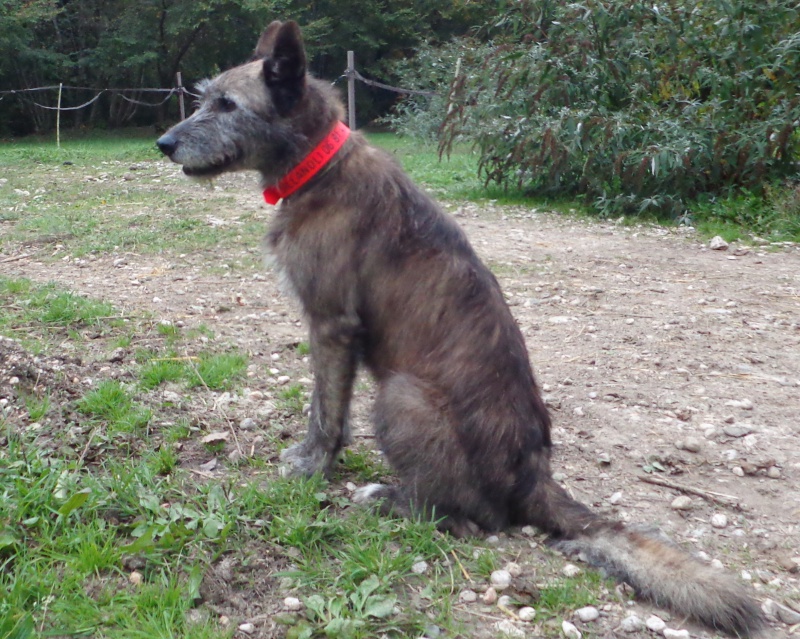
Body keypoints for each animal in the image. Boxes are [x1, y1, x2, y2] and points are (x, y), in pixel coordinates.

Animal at [156, 21, 764, 639]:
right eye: (202, 98)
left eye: (227, 105)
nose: (164, 144)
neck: (318, 166)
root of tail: (532, 476)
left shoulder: (330, 326)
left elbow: (325, 415)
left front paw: (311, 467)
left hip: (400, 395)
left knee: (472, 518)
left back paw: (388, 497)